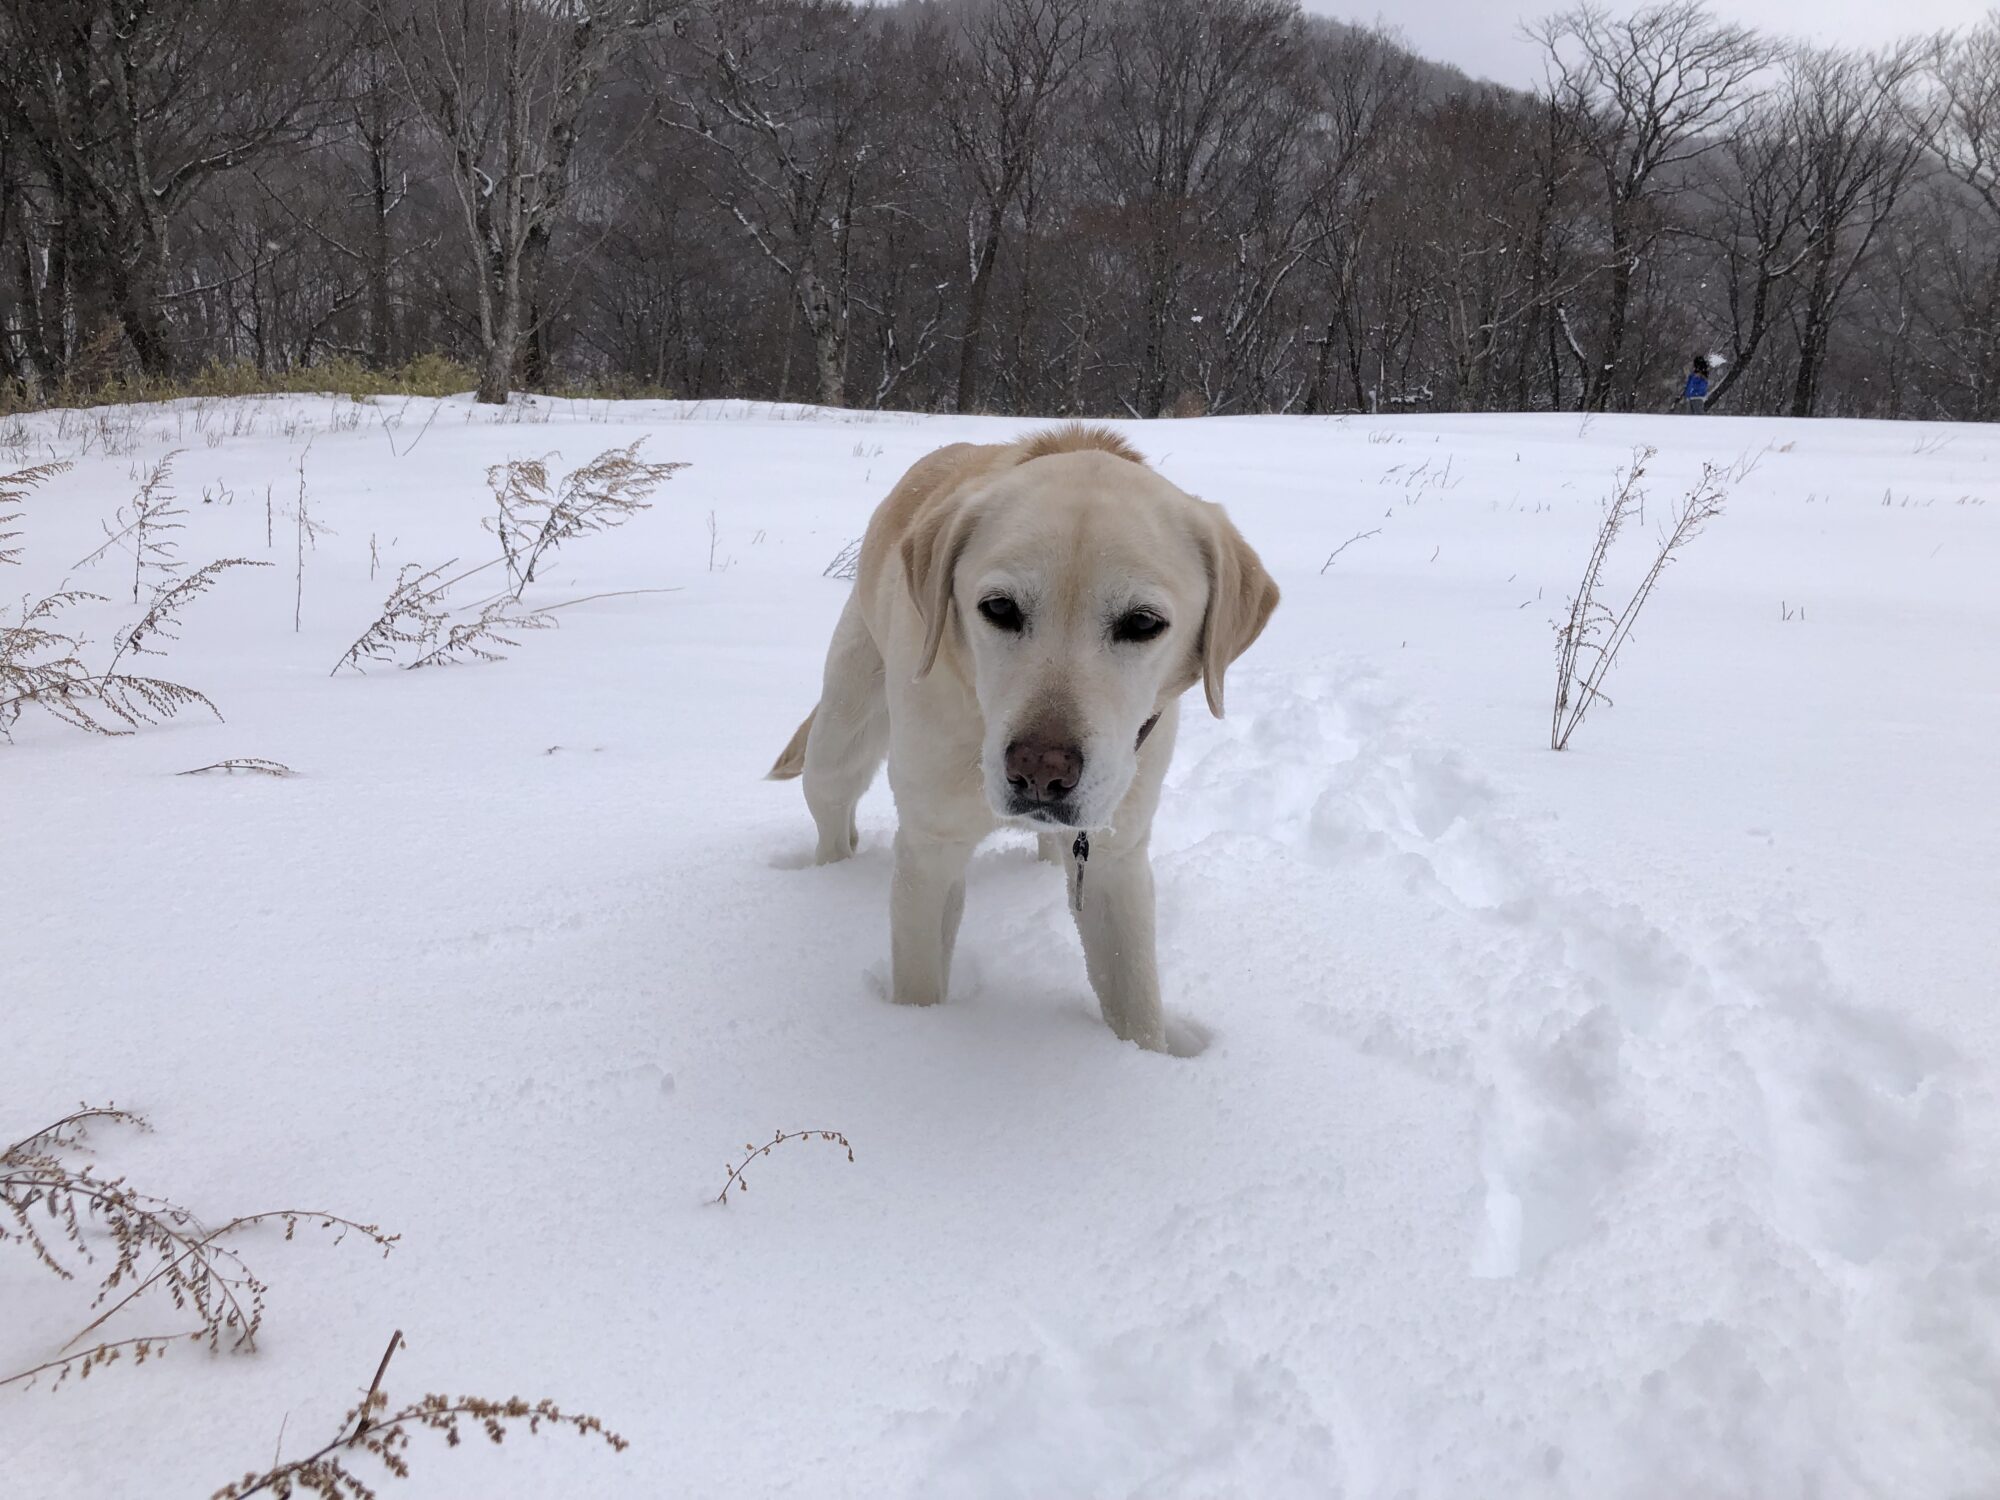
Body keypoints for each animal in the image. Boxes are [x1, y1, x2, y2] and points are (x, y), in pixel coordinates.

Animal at [769, 424, 1278, 1051]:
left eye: (1142, 622)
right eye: (999, 608)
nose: (1039, 769)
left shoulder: (1114, 858)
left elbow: (1135, 1000)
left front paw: (1144, 1061)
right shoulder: (931, 848)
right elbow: (919, 978)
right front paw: (915, 1036)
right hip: (842, 732)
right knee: (833, 815)